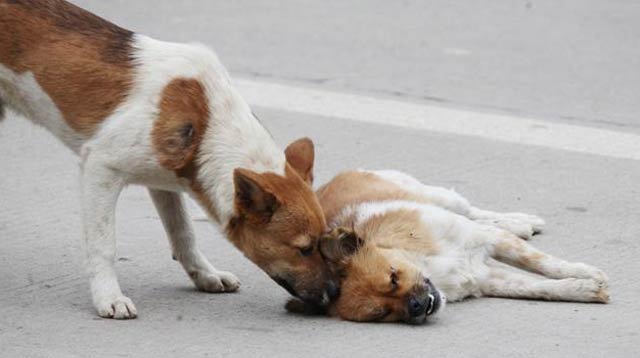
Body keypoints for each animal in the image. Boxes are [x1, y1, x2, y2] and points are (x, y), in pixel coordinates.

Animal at [0, 0, 338, 318]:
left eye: (322, 243)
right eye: (304, 249)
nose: (334, 293)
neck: (206, 124)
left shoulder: (164, 181)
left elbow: (184, 234)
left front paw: (205, 275)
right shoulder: (100, 168)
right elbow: (103, 245)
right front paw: (108, 296)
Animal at [290, 169, 608, 324]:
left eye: (393, 277)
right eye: (382, 314)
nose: (416, 306)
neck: (428, 262)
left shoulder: (488, 241)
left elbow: (544, 263)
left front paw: (586, 273)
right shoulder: (487, 278)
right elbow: (539, 288)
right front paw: (583, 289)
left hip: (440, 197)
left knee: (473, 211)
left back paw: (520, 221)